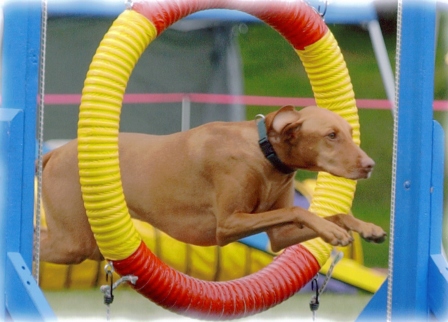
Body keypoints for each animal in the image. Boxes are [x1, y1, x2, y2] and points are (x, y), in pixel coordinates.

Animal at [40, 105, 386, 264]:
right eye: (331, 135)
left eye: (349, 132)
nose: (370, 165)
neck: (264, 152)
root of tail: (56, 151)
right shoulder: (229, 224)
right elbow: (302, 212)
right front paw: (332, 232)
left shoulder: (278, 237)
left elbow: (331, 214)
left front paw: (365, 227)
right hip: (72, 243)